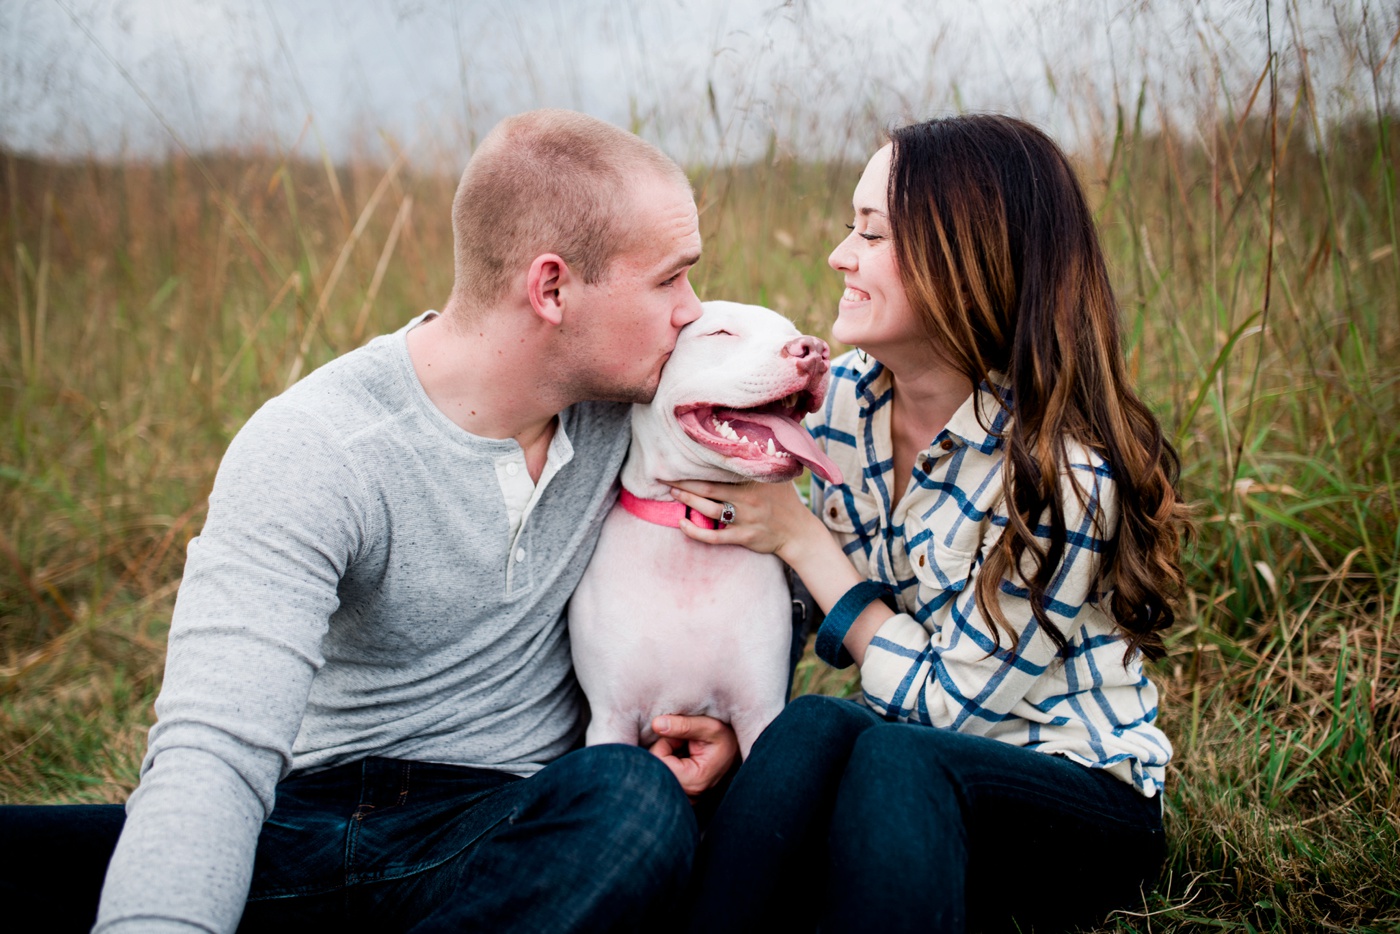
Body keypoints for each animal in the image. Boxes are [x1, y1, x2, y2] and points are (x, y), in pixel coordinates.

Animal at [568, 303, 840, 756]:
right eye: (721, 333)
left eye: (791, 331)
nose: (815, 350)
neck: (689, 551)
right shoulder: (610, 719)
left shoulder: (760, 712)